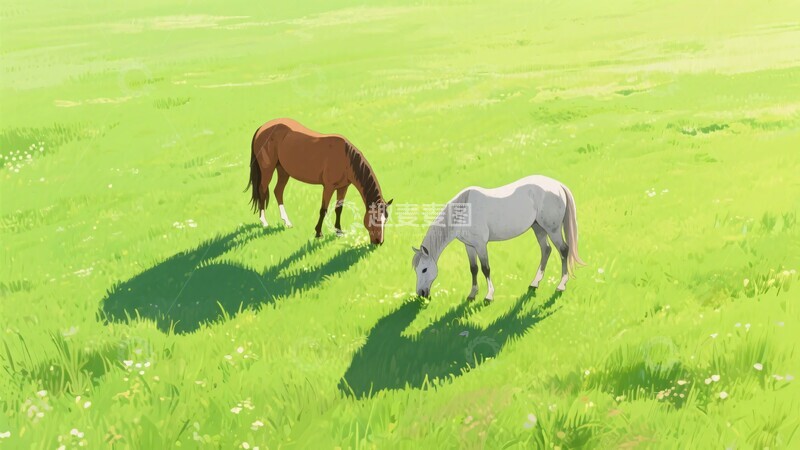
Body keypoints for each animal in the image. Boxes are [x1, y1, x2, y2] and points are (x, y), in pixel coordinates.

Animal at [247, 118, 393, 245]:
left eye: (385, 219)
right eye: (374, 218)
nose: (379, 242)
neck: (345, 159)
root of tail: (262, 127)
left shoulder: (343, 187)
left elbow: (339, 209)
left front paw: (338, 231)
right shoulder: (328, 187)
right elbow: (324, 209)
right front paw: (318, 233)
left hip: (283, 170)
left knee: (278, 191)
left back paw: (287, 222)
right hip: (267, 169)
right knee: (262, 191)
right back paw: (264, 222)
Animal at [411, 175, 585, 303]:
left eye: (424, 269)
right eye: (416, 270)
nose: (421, 293)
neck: (464, 211)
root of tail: (558, 185)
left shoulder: (481, 245)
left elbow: (485, 268)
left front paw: (489, 296)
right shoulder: (469, 246)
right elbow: (473, 269)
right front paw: (472, 294)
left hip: (552, 229)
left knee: (563, 250)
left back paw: (561, 285)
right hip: (538, 227)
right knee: (546, 250)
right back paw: (534, 283)